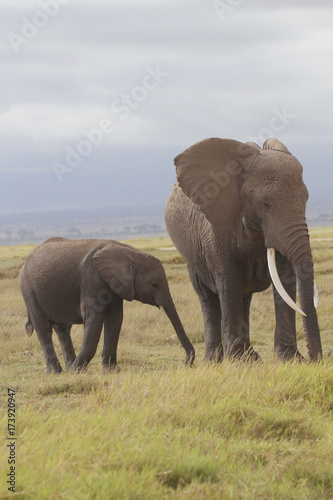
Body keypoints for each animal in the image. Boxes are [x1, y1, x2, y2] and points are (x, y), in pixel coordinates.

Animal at [18, 237, 195, 372]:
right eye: (155, 284)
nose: (187, 362)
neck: (130, 253)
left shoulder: (115, 285)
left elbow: (115, 318)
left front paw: (110, 370)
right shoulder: (92, 277)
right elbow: (94, 317)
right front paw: (77, 371)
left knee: (62, 330)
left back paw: (70, 368)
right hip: (28, 290)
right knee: (43, 328)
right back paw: (58, 371)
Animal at [165, 138, 320, 364]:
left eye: (306, 199)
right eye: (265, 203)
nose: (318, 358)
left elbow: (285, 279)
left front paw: (290, 360)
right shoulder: (216, 228)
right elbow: (228, 281)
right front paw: (238, 362)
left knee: (244, 298)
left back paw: (251, 358)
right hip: (192, 258)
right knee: (208, 299)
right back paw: (215, 361)